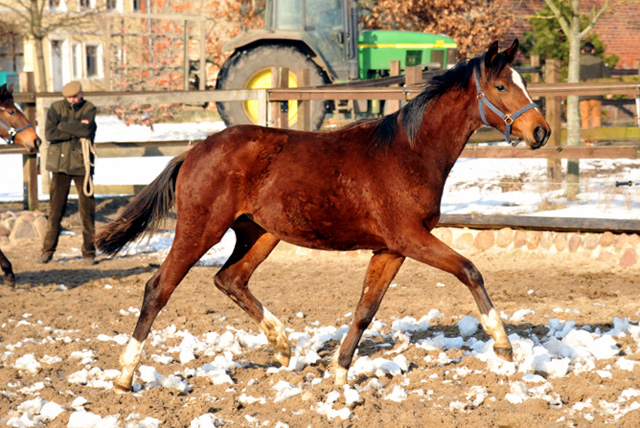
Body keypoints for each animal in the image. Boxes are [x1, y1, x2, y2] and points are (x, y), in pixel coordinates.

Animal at [95, 40, 552, 392]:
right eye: (501, 85)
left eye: (522, 82)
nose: (540, 131)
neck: (411, 152)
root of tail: (193, 151)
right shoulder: (411, 237)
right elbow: (469, 269)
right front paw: (503, 344)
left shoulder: (391, 249)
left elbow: (365, 309)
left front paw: (339, 373)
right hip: (201, 228)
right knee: (159, 288)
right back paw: (124, 376)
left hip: (260, 233)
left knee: (231, 278)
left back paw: (282, 345)